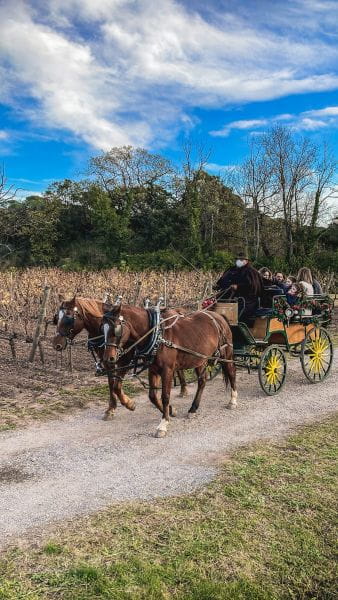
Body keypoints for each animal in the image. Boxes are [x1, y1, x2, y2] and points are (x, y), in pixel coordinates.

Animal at [52, 294, 190, 418]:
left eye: (68, 318)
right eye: (56, 318)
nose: (56, 344)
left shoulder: (125, 360)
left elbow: (117, 386)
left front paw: (129, 403)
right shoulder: (108, 361)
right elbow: (111, 383)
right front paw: (111, 408)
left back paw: (182, 390)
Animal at [101, 304, 236, 436]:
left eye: (116, 329)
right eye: (103, 329)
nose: (108, 358)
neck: (158, 335)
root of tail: (219, 316)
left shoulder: (168, 370)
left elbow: (165, 396)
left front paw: (163, 424)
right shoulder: (153, 369)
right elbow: (152, 396)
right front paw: (171, 411)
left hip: (226, 353)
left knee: (231, 373)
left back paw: (233, 401)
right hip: (200, 359)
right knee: (202, 381)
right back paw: (193, 409)